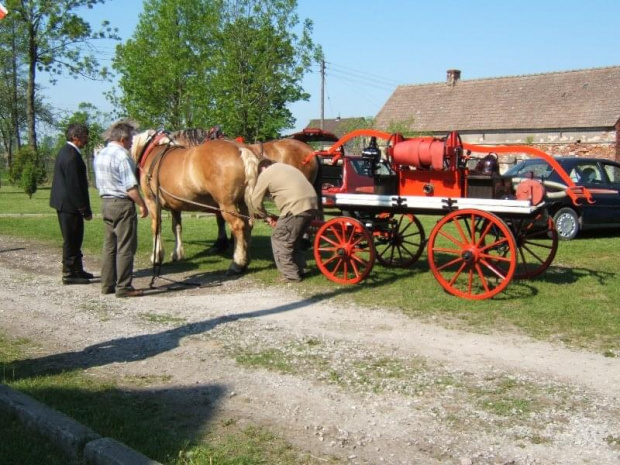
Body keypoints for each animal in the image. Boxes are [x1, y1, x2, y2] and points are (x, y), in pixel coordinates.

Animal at [131, 129, 260, 274]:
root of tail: (240, 149)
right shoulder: (175, 205)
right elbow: (176, 227)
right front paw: (177, 254)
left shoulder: (152, 202)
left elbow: (156, 227)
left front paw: (157, 256)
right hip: (243, 202)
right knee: (248, 225)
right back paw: (246, 259)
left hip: (227, 204)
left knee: (238, 226)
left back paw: (237, 264)